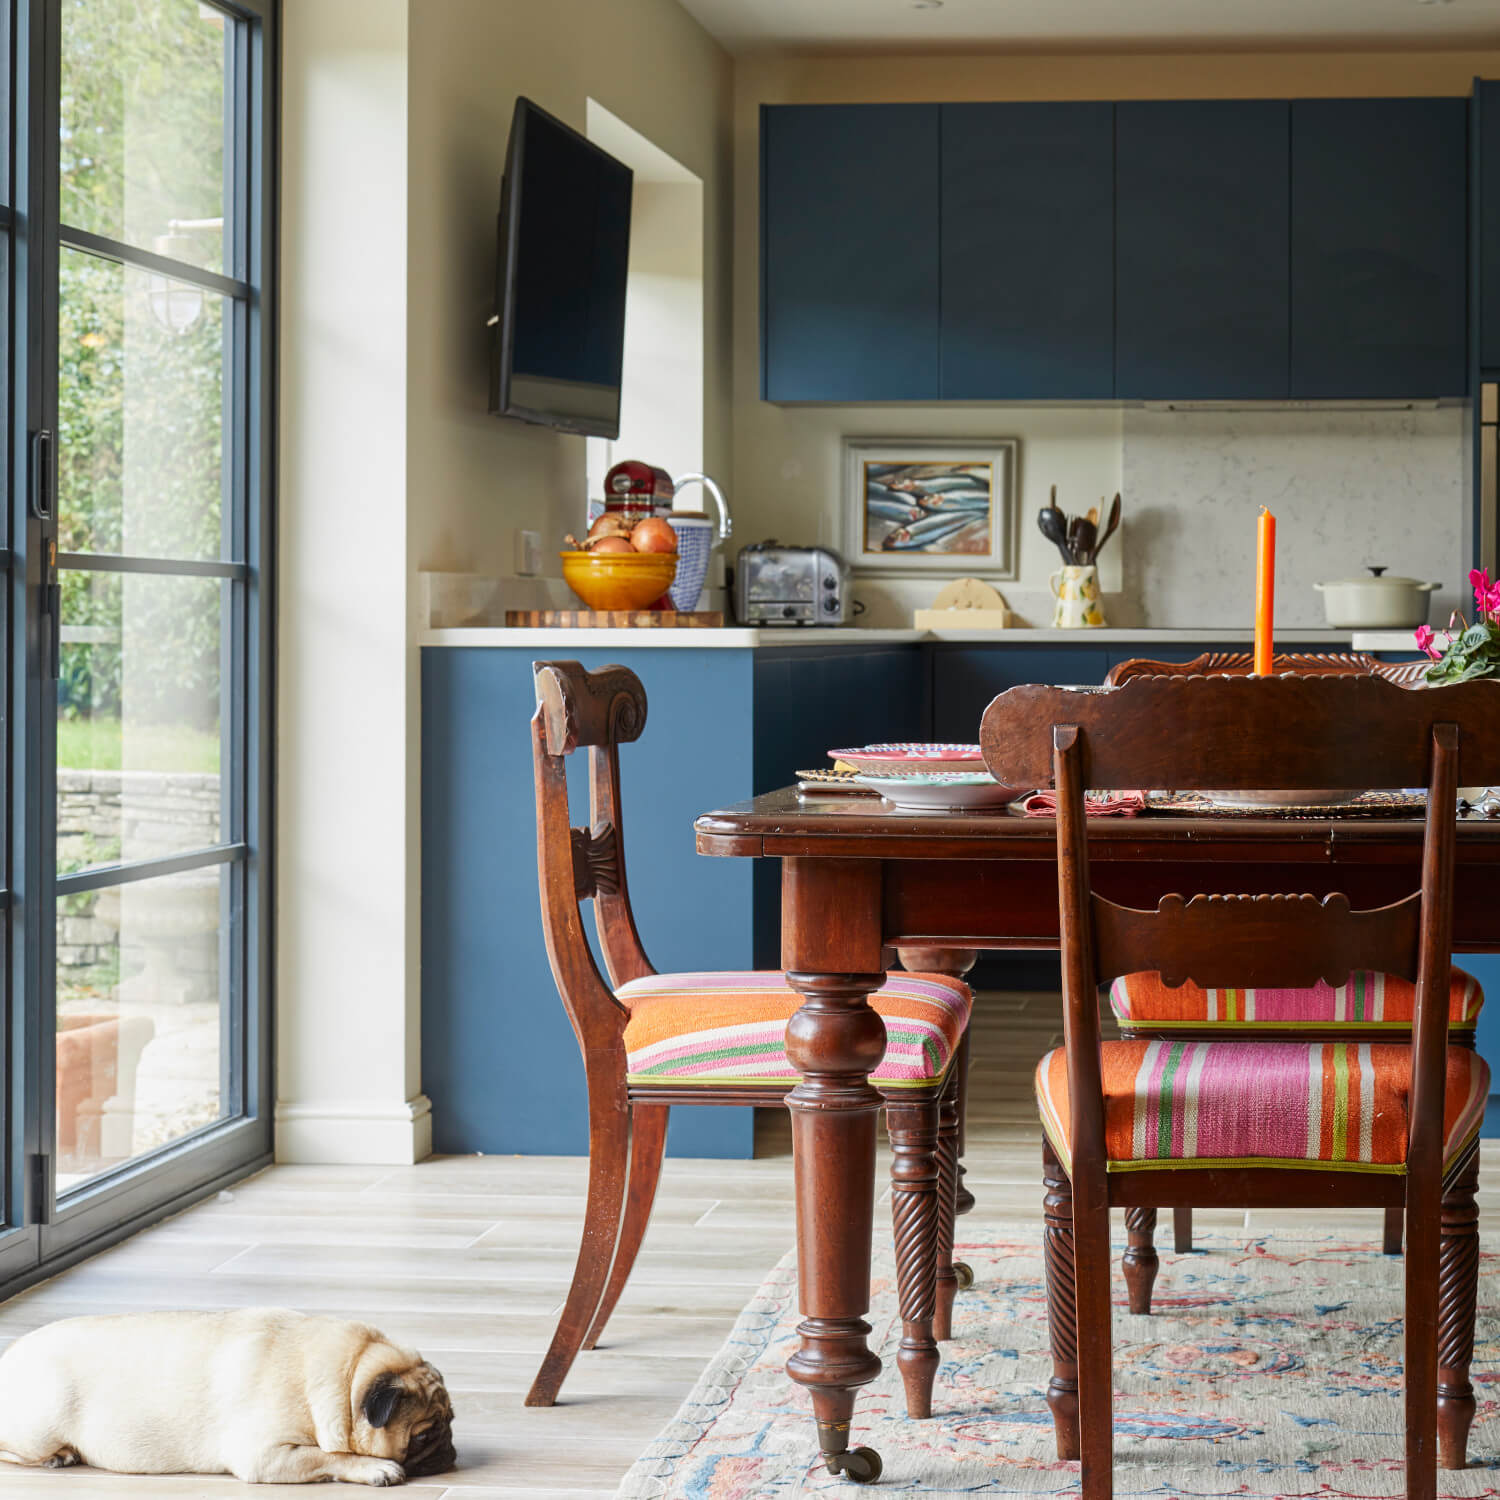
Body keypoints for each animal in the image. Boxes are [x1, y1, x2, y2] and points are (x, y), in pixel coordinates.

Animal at [0, 1308, 453, 1482]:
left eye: (451, 1422)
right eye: (423, 1436)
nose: (450, 1451)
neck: (347, 1376)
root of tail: (10, 1356)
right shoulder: (266, 1456)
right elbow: (330, 1456)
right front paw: (375, 1467)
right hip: (38, 1427)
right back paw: (58, 1456)